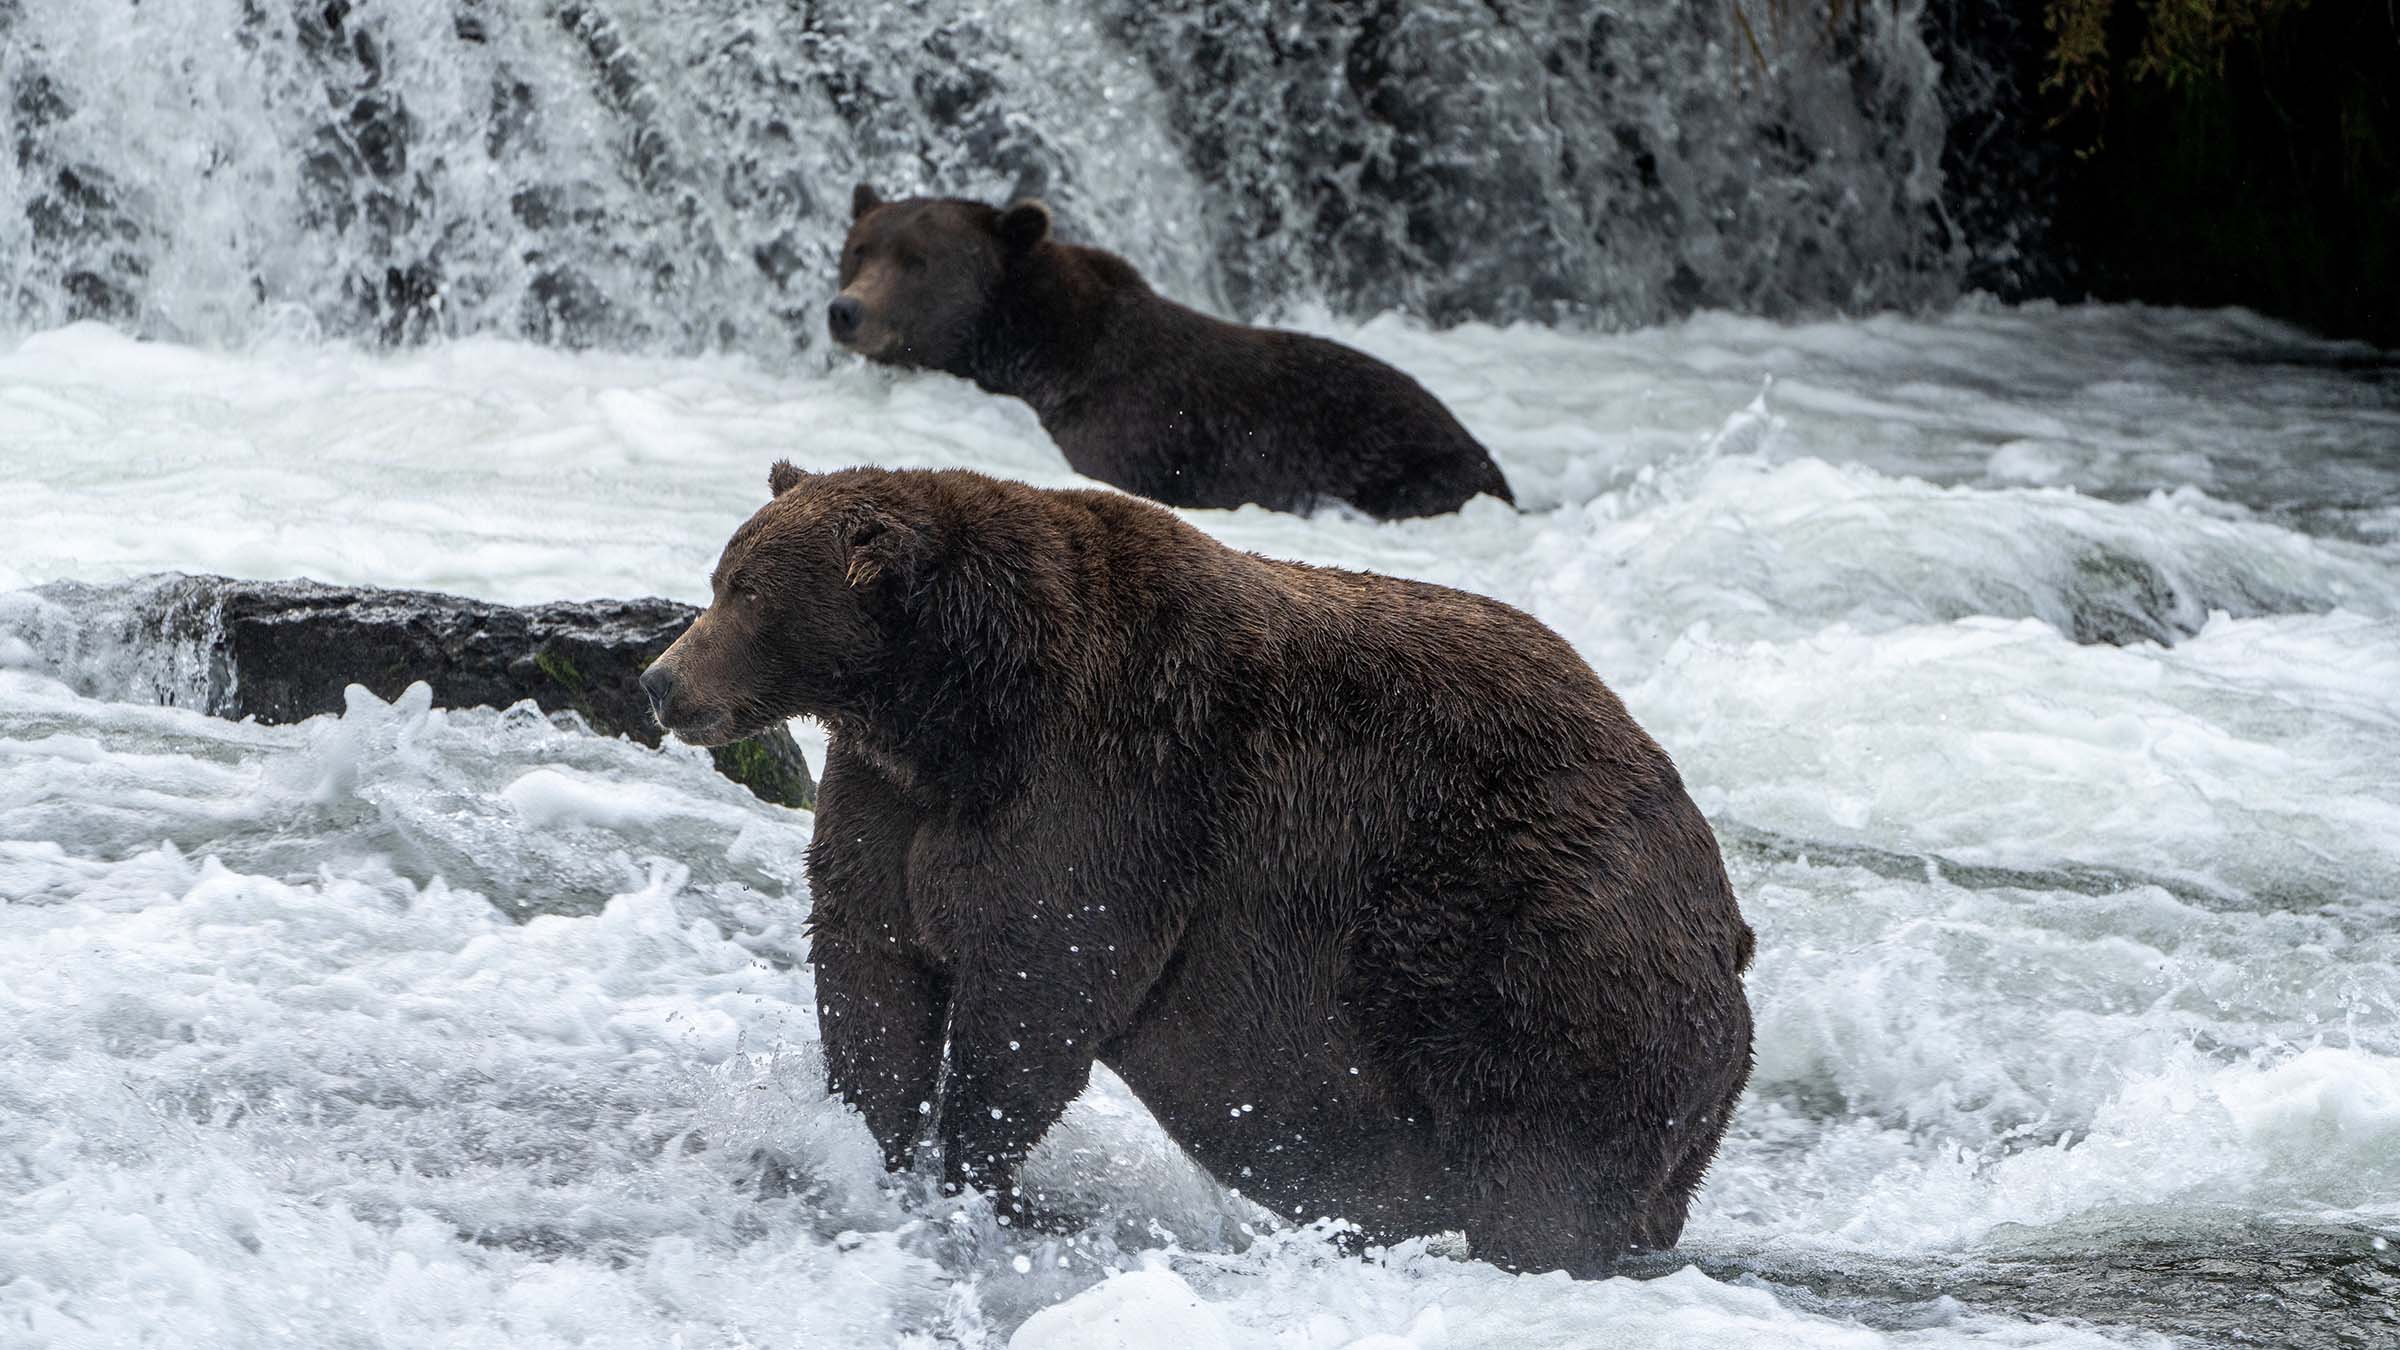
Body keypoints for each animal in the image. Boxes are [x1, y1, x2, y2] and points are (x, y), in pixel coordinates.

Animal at [641, 462, 1753, 1276]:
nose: (660, 681)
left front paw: (969, 1171)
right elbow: (872, 968)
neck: (956, 709)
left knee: (1544, 1164)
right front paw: (868, 1147)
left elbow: (1038, 984)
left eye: (745, 591)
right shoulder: (891, 800)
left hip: (1538, 946)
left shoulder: (1109, 785)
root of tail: (1727, 922)